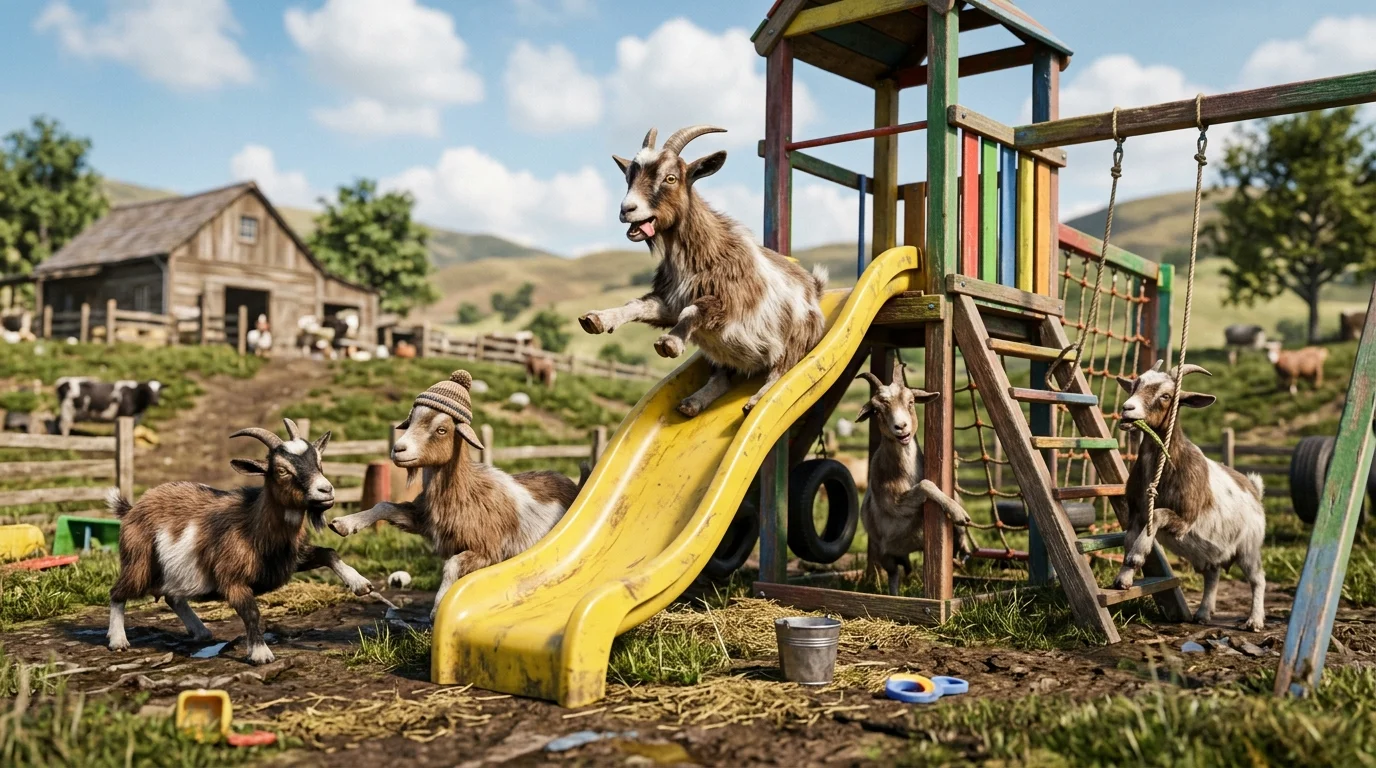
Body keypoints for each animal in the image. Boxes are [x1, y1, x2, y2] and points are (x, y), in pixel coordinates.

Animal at [105, 419, 374, 663]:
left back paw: (201, 631)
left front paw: (360, 584)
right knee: (118, 592)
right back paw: (118, 641)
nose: (325, 491)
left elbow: (329, 553)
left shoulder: (289, 558)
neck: (253, 525)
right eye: (282, 470)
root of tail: (131, 509)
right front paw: (260, 653)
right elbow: (251, 612)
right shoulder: (232, 579)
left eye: (319, 462)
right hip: (138, 561)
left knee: (173, 596)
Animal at [327, 370, 585, 618]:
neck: (467, 492)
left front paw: (437, 608)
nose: (399, 449)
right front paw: (344, 524)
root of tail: (573, 483)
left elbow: (452, 564)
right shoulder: (427, 521)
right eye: (411, 421)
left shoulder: (488, 551)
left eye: (442, 430)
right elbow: (385, 505)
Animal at [579, 125, 828, 417]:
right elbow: (637, 305)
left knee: (781, 372)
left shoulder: (729, 303)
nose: (627, 209)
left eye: (671, 178)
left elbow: (694, 309)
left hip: (795, 340)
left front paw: (671, 342)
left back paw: (755, 400)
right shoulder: (670, 301)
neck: (703, 252)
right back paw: (693, 402)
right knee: (722, 378)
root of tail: (815, 288)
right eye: (629, 176)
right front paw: (598, 319)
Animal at [855, 366, 972, 595]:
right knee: (893, 575)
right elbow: (926, 484)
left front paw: (962, 532)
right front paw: (958, 513)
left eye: (910, 402)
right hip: (885, 554)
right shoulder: (893, 504)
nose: (901, 427)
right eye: (877, 410)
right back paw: (895, 596)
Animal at [1115, 362, 1266, 631]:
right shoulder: (1136, 511)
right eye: (1135, 385)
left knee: (1258, 577)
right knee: (1213, 574)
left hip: (1249, 546)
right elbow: (1128, 539)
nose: (1127, 409)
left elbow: (1159, 515)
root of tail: (1254, 489)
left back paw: (1254, 621)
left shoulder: (1185, 519)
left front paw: (1137, 556)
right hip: (1211, 550)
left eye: (1166, 395)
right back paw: (1203, 613)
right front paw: (1124, 577)